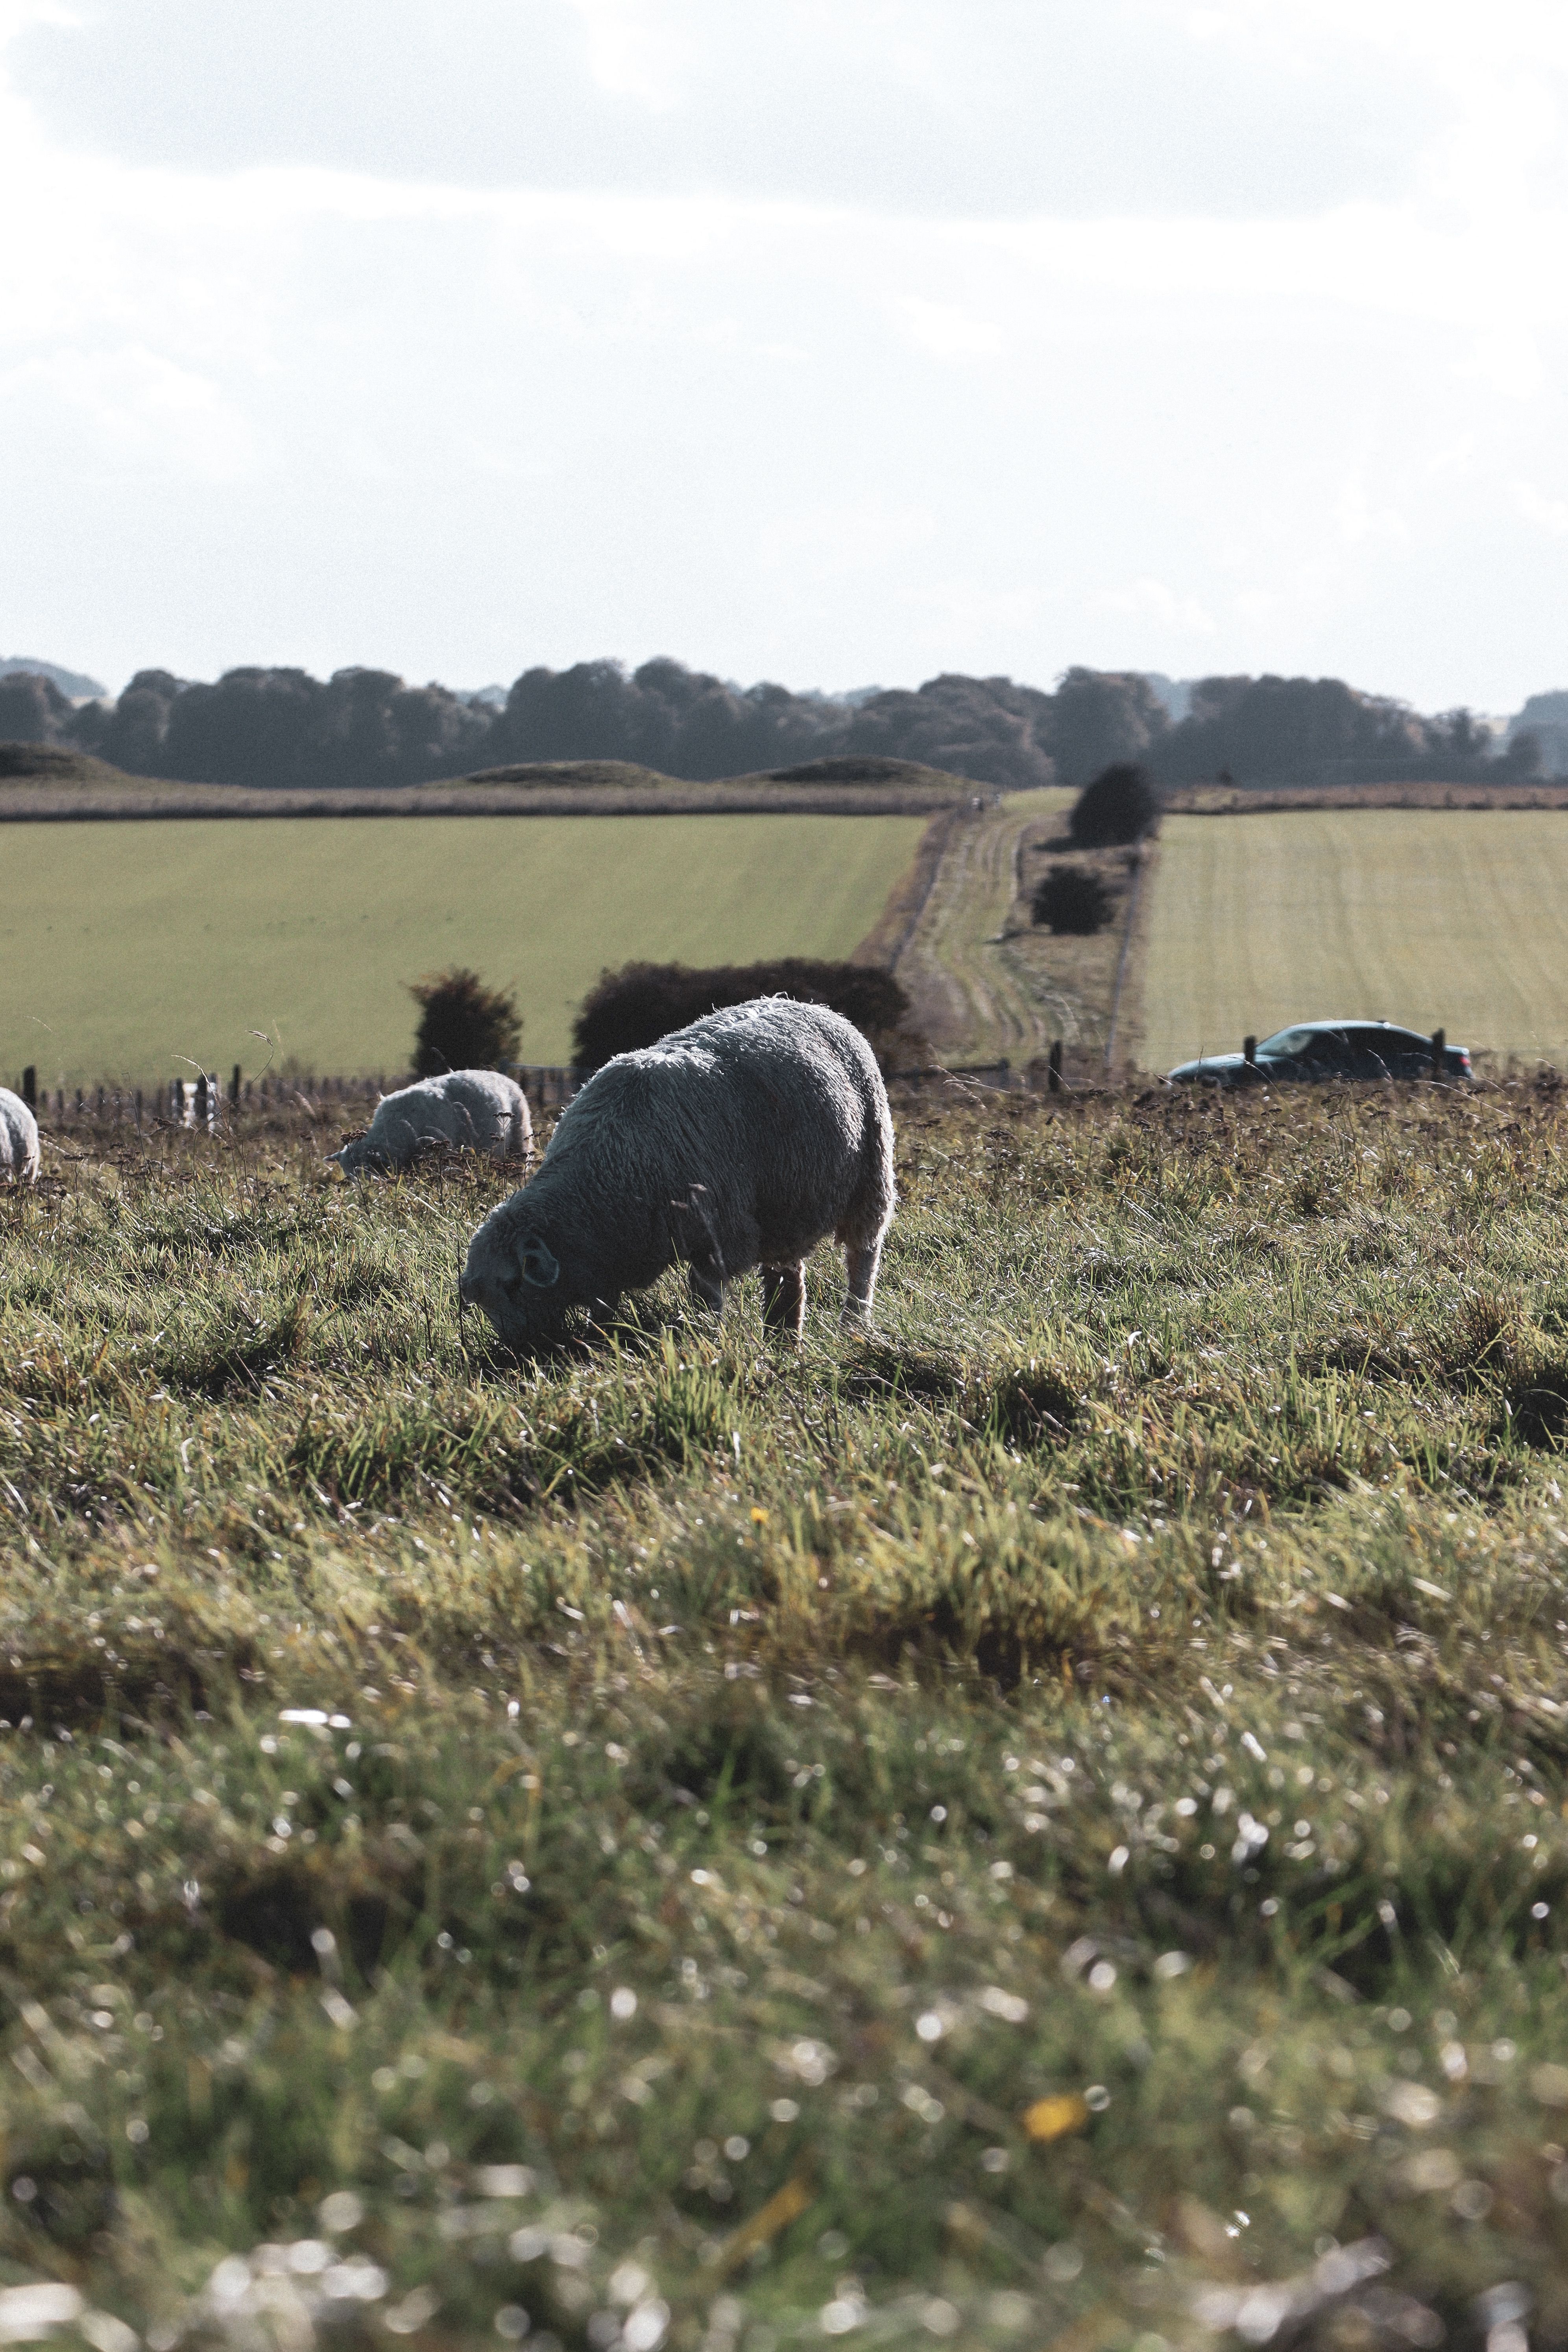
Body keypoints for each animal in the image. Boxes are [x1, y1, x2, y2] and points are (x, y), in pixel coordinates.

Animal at [458, 996, 895, 1347]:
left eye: (513, 1283)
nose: (518, 1348)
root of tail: (811, 1005)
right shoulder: (605, 1256)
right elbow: (602, 1307)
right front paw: (600, 1341)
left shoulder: (715, 1234)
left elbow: (705, 1294)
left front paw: (707, 1339)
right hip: (785, 1204)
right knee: (787, 1273)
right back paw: (783, 1335)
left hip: (872, 1174)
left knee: (863, 1254)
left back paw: (853, 1325)